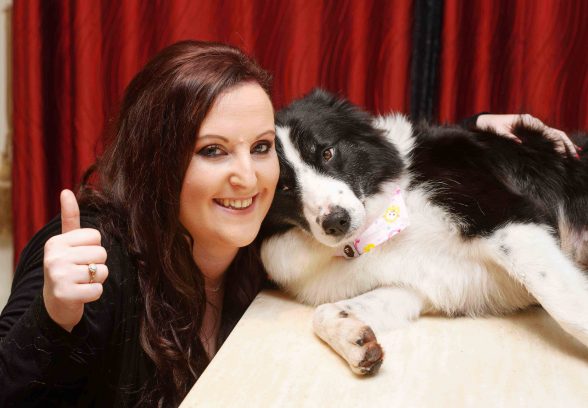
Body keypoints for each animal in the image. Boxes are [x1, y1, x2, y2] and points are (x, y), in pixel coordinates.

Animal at [260, 90, 588, 376]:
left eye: (327, 152)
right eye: (283, 186)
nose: (336, 221)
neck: (381, 222)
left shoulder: (510, 219)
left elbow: (569, 307)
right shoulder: (419, 284)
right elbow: (323, 313)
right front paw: (356, 339)